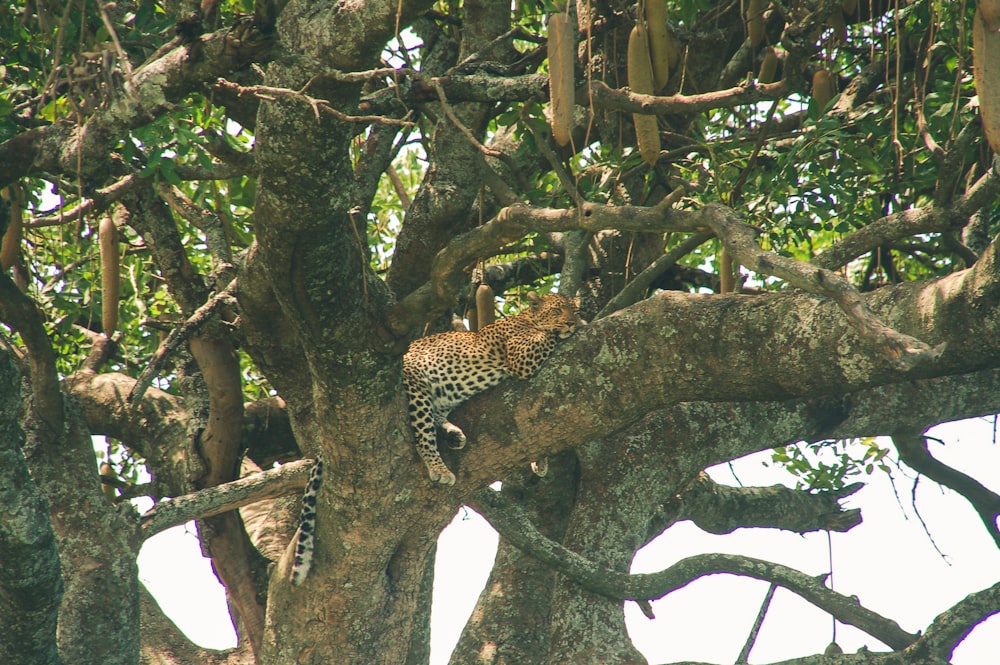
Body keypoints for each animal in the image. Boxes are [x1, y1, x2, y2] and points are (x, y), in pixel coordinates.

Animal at [402, 290, 584, 482]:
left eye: (575, 312)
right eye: (557, 310)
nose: (571, 322)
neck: (528, 318)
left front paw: (540, 461)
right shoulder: (521, 355)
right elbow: (548, 333)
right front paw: (576, 325)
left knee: (435, 416)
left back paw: (452, 434)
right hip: (416, 385)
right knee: (424, 435)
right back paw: (439, 468)